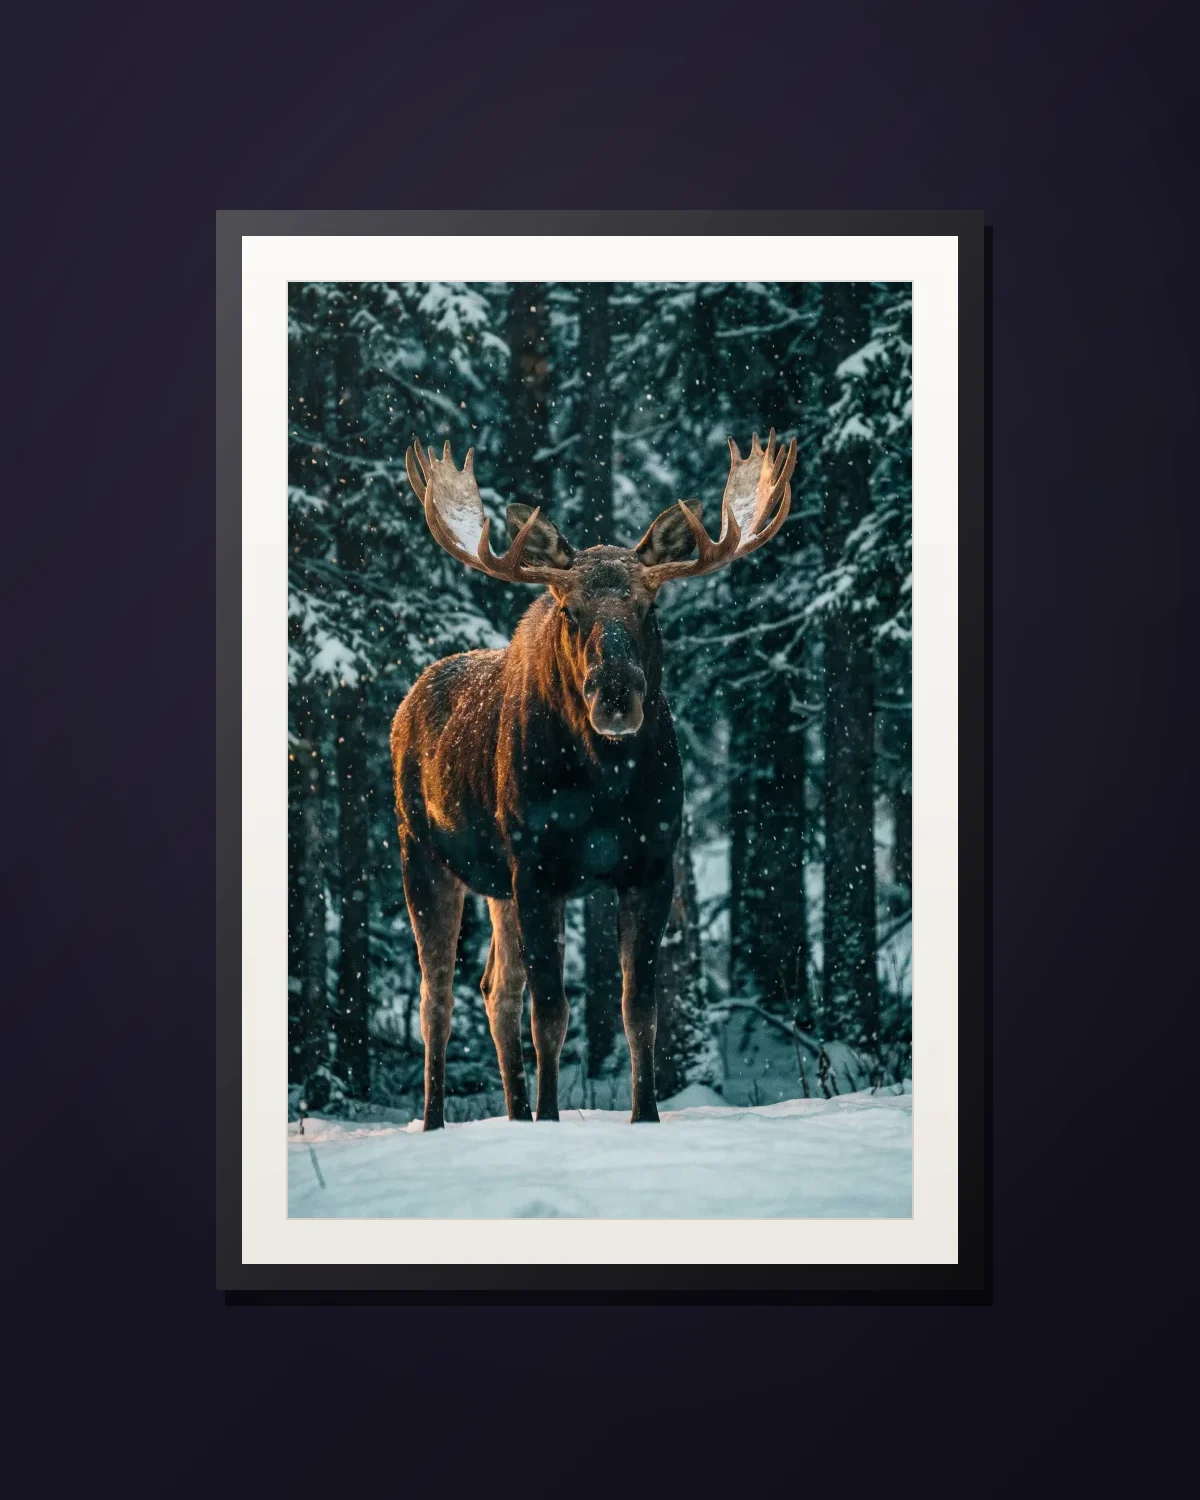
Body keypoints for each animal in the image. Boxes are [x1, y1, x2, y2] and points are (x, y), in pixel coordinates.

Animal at [391, 430, 797, 1129]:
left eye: (649, 604)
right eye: (568, 608)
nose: (615, 696)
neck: (605, 790)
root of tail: (405, 705)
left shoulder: (651, 866)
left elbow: (640, 1012)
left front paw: (644, 1116)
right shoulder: (538, 868)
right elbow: (552, 1015)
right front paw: (553, 1119)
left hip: (497, 888)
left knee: (495, 989)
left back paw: (515, 1114)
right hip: (424, 855)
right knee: (436, 997)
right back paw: (438, 1120)